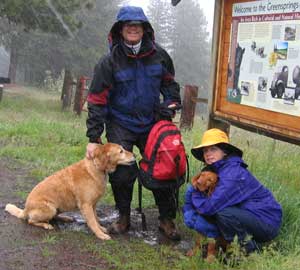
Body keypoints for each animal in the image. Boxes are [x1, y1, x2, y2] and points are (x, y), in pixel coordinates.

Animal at [4, 143, 135, 240]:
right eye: (121, 151)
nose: (134, 155)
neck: (96, 167)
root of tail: (25, 210)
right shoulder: (86, 205)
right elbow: (92, 222)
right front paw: (100, 235)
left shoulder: (93, 205)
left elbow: (96, 219)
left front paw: (101, 229)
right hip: (50, 208)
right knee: (31, 221)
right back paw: (46, 225)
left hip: (57, 208)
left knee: (54, 217)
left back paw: (66, 218)